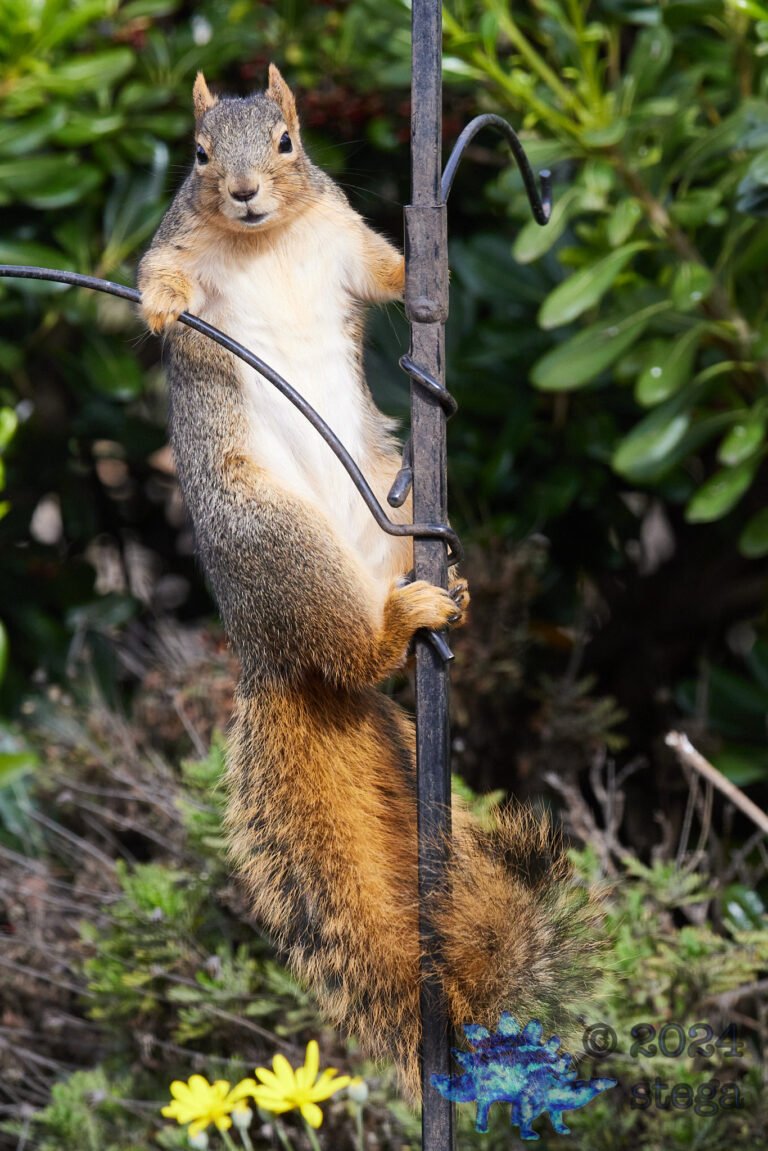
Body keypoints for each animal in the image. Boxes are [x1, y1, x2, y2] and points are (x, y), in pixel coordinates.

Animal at [138, 66, 602, 1102]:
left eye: (287, 142)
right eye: (198, 155)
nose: (242, 193)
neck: (265, 240)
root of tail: (275, 651)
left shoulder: (347, 244)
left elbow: (387, 272)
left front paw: (428, 277)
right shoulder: (183, 242)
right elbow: (165, 273)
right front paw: (154, 308)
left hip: (390, 500)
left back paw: (448, 590)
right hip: (274, 535)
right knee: (363, 653)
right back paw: (400, 624)